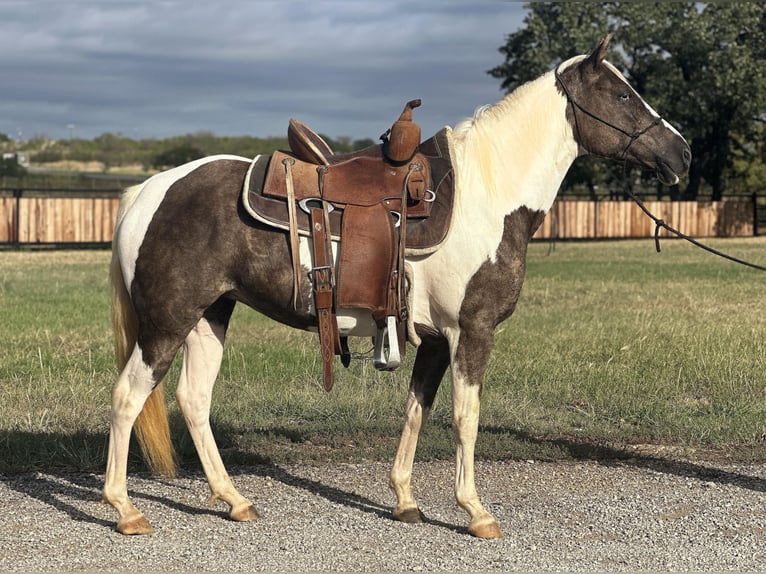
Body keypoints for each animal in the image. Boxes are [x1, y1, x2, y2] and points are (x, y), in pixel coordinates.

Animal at [103, 36, 696, 540]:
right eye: (622, 94)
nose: (682, 153)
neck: (486, 193)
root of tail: (148, 191)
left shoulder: (433, 340)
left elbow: (418, 410)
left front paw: (405, 500)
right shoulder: (471, 332)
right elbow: (464, 418)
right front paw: (475, 511)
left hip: (210, 316)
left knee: (193, 399)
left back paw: (235, 501)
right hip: (167, 324)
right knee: (129, 396)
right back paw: (125, 510)